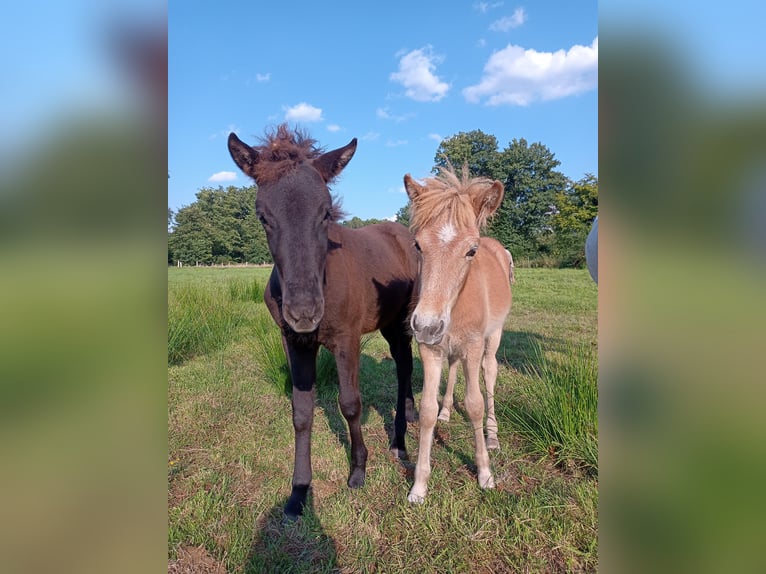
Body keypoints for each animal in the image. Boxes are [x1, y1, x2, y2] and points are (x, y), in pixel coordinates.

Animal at [404, 165, 512, 504]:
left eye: (471, 250)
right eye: (418, 245)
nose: (426, 325)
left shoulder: (474, 346)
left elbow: (475, 404)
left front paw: (485, 474)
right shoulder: (430, 349)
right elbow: (426, 409)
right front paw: (419, 486)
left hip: (494, 336)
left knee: (490, 373)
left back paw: (493, 435)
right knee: (452, 371)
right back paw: (447, 412)